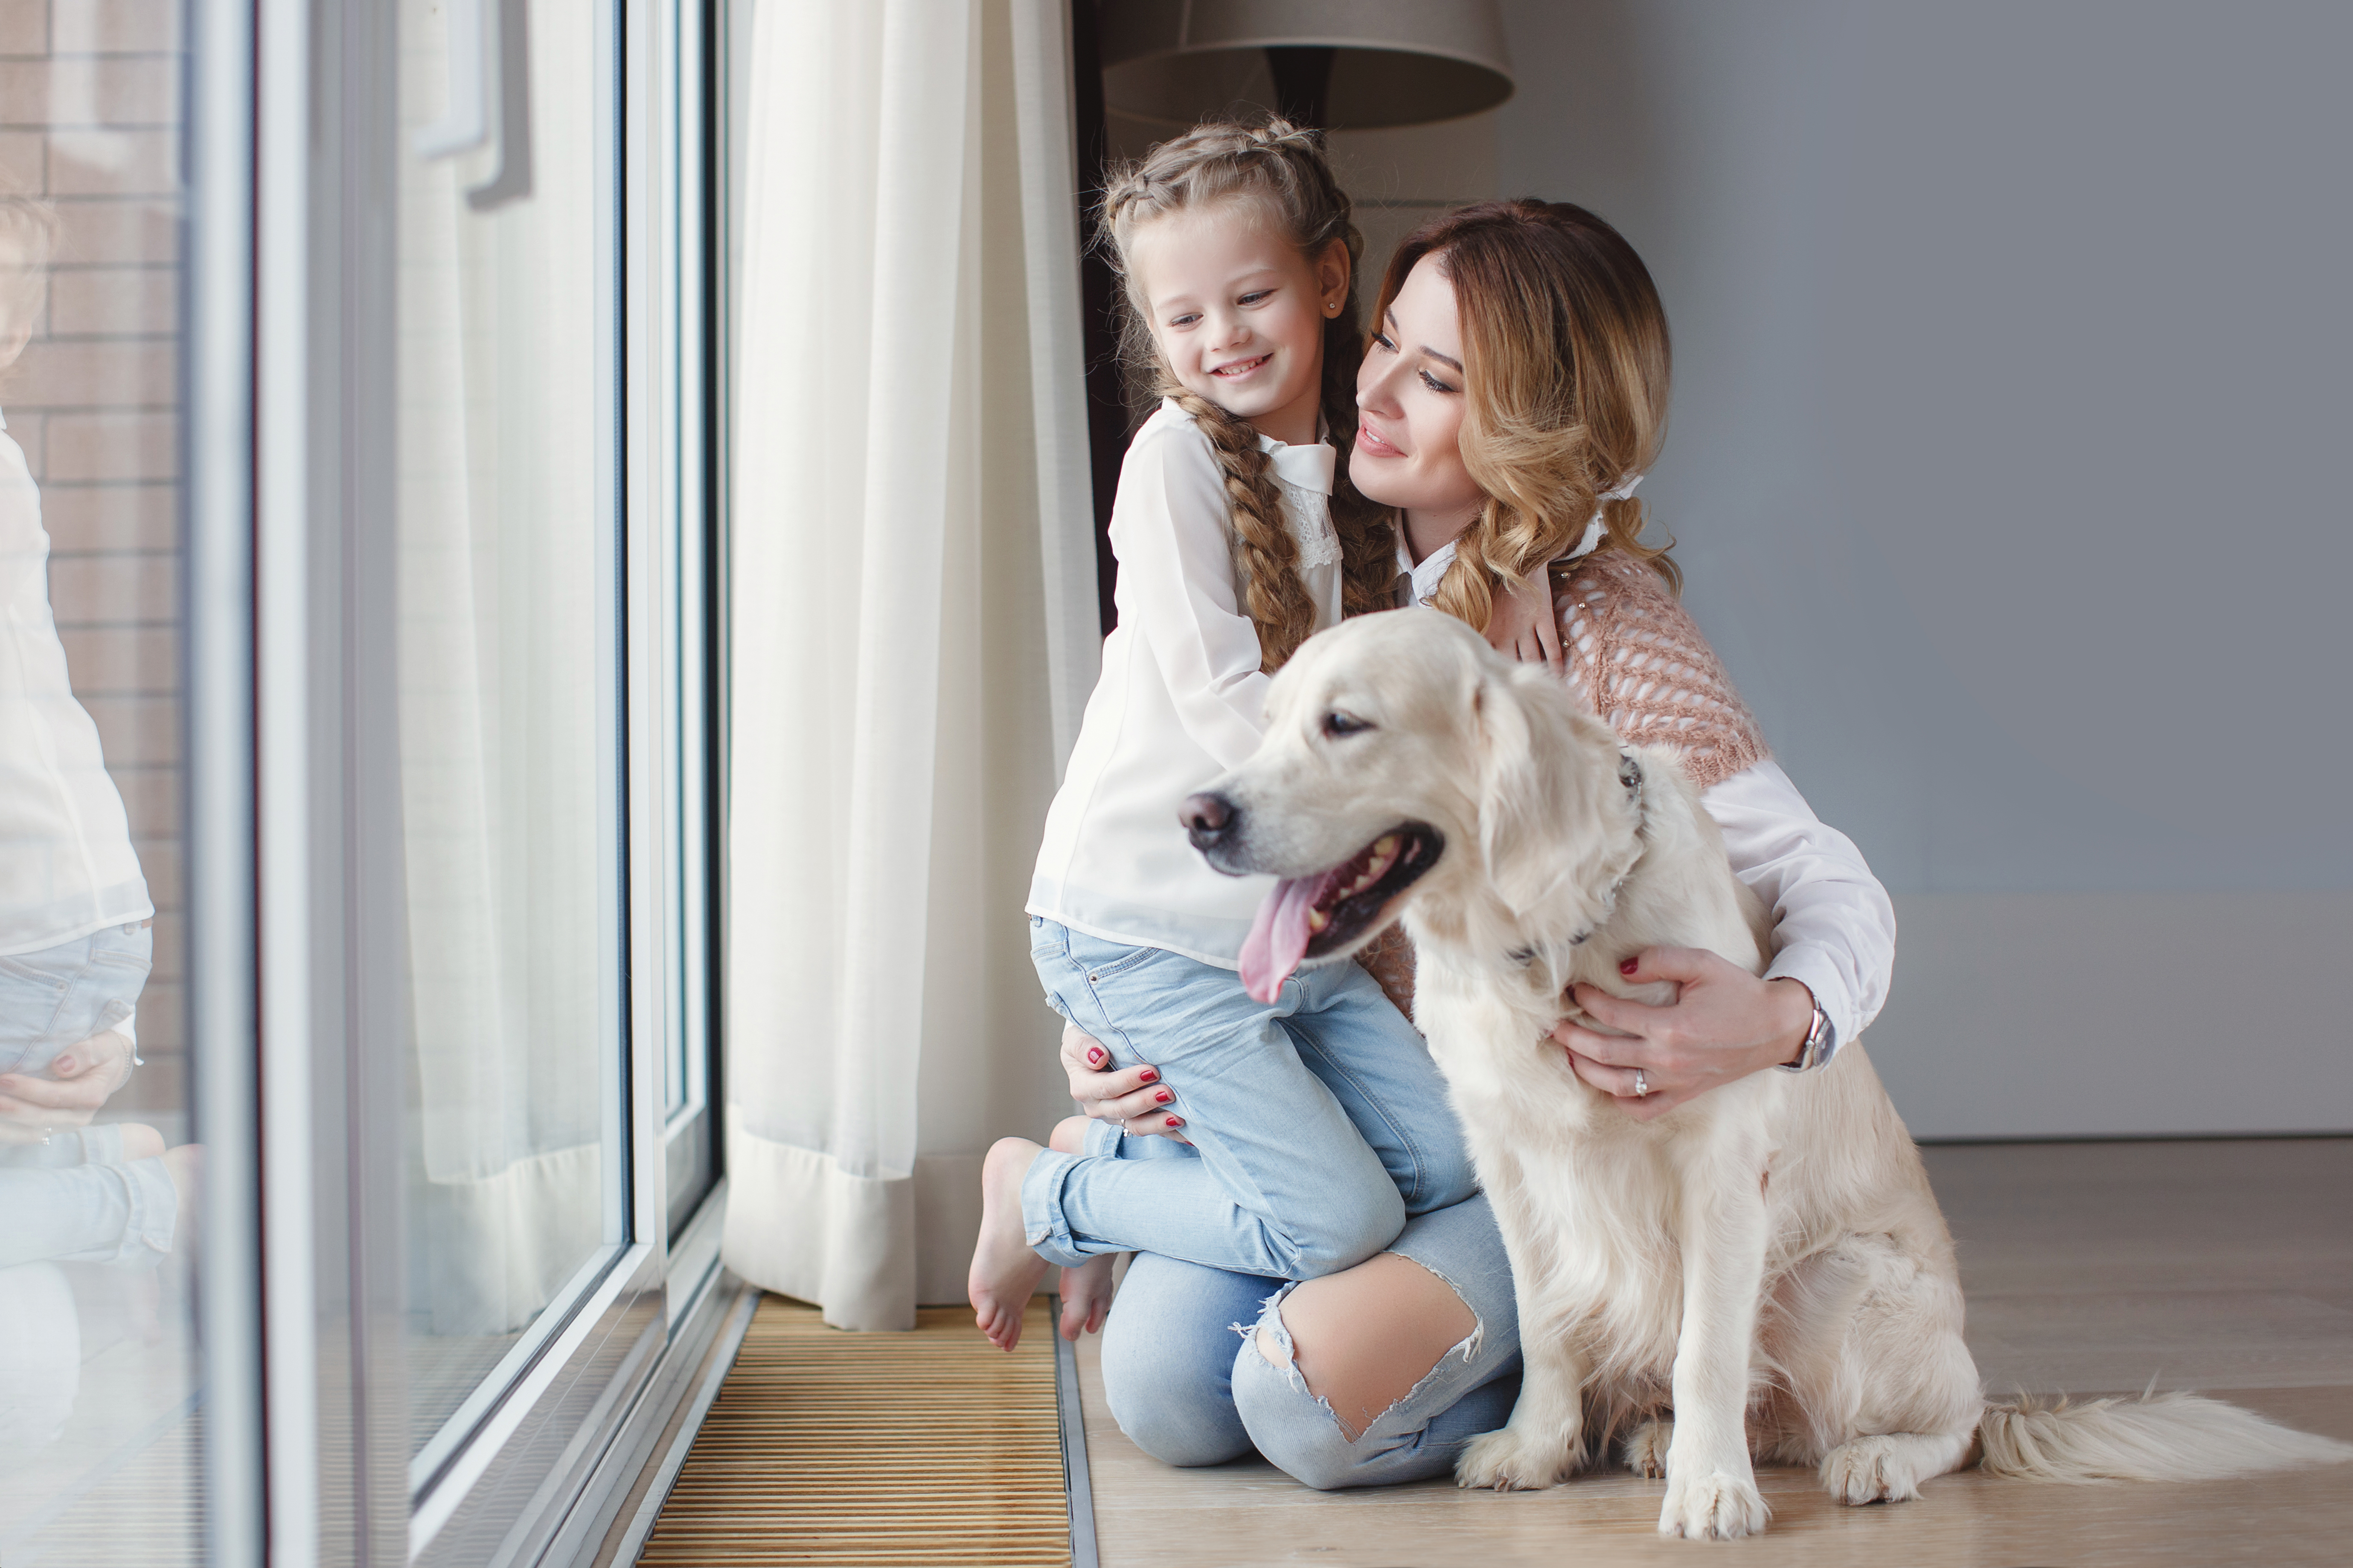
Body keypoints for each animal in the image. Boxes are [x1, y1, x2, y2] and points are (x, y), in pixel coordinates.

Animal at [1195, 611, 2353, 1542]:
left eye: (1346, 723)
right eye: (1270, 721)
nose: (1199, 816)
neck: (1554, 937)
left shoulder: (1718, 1166)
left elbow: (1707, 1345)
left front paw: (1712, 1491)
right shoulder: (1513, 1158)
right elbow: (1545, 1322)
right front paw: (1536, 1446)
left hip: (1839, 1281)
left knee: (1954, 1427)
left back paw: (1868, 1455)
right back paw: (1658, 1437)